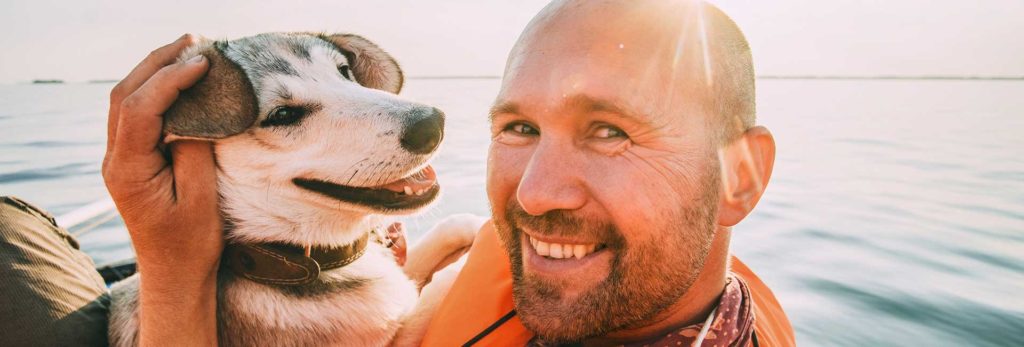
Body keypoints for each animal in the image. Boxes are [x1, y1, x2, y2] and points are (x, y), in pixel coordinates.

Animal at [107, 32, 479, 347]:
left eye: (344, 71)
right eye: (283, 114)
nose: (431, 124)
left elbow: (445, 232)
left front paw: (474, 224)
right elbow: (439, 292)